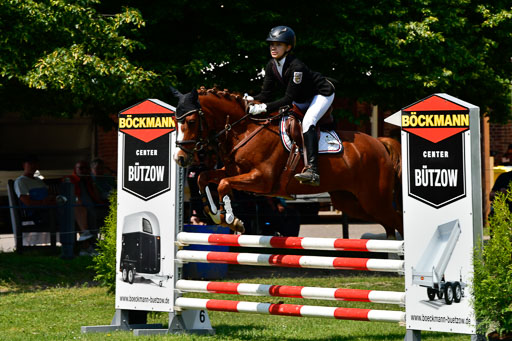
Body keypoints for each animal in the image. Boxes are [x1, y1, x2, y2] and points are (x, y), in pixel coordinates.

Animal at [173, 86, 404, 238]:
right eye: (176, 121)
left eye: (191, 122)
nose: (179, 158)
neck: (245, 130)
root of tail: (379, 143)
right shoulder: (232, 170)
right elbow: (204, 177)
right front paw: (214, 215)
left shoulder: (262, 180)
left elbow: (222, 184)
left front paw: (232, 220)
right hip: (350, 201)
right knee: (389, 224)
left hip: (374, 199)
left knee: (397, 220)